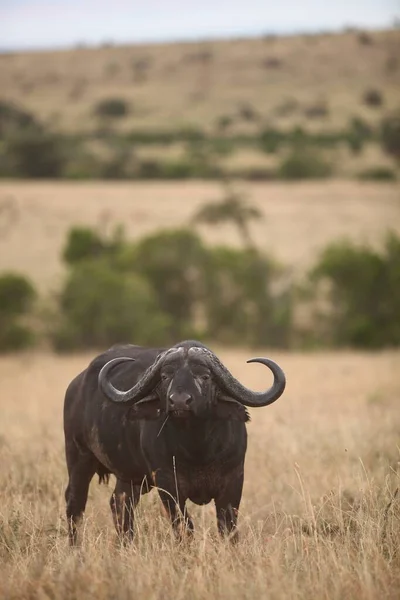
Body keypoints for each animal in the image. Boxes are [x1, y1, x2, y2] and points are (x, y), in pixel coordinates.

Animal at [64, 342, 286, 544]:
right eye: (165, 376)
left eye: (204, 376)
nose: (179, 401)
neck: (198, 448)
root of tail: (75, 387)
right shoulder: (168, 485)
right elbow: (184, 527)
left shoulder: (234, 480)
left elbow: (227, 527)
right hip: (78, 457)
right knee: (75, 503)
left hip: (132, 477)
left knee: (120, 503)